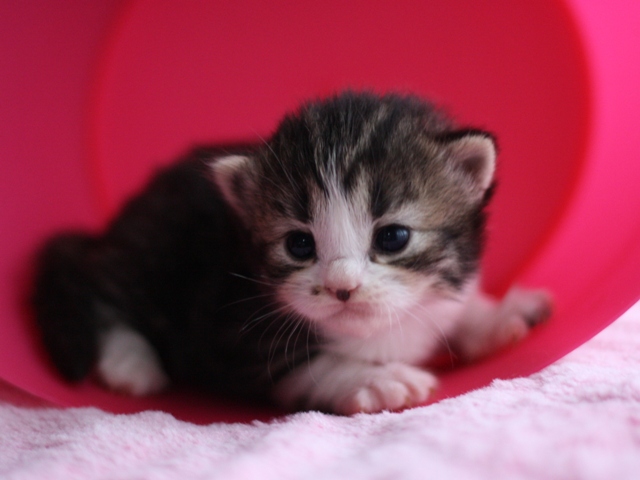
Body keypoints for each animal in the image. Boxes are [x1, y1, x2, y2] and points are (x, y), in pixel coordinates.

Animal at [31, 92, 552, 414]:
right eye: (299, 244)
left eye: (393, 237)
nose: (343, 288)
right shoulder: (229, 333)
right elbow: (309, 366)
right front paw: (373, 380)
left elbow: (455, 307)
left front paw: (498, 315)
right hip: (149, 251)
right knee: (93, 281)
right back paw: (129, 362)